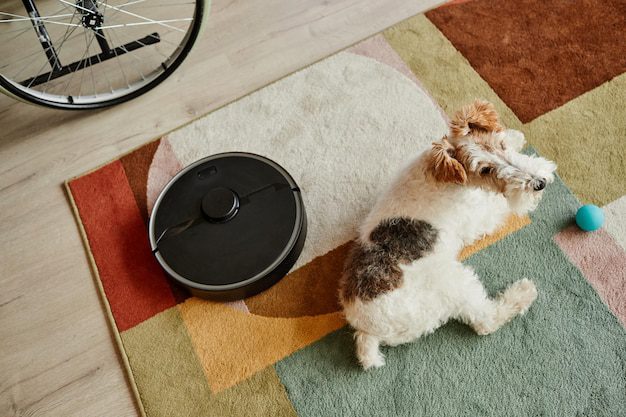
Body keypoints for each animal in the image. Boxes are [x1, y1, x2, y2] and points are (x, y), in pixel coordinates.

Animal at [336, 100, 556, 368]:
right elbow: (501, 204)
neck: (438, 173)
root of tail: (367, 330)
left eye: (500, 145)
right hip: (454, 283)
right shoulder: (479, 216)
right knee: (485, 321)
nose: (539, 183)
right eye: (485, 170)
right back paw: (522, 292)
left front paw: (516, 137)